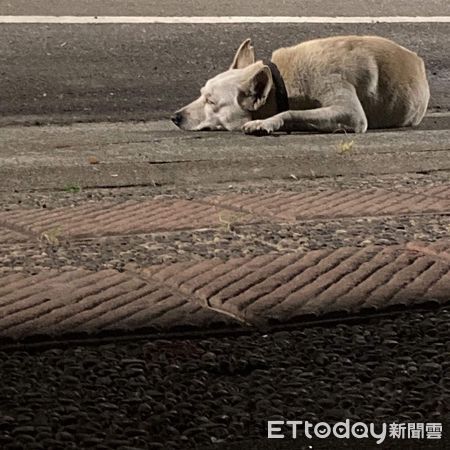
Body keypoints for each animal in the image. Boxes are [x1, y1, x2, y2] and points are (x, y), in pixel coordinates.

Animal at [172, 35, 428, 134]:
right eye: (201, 94)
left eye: (211, 101)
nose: (174, 116)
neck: (281, 81)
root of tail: (418, 60)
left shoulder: (351, 113)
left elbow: (291, 112)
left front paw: (266, 123)